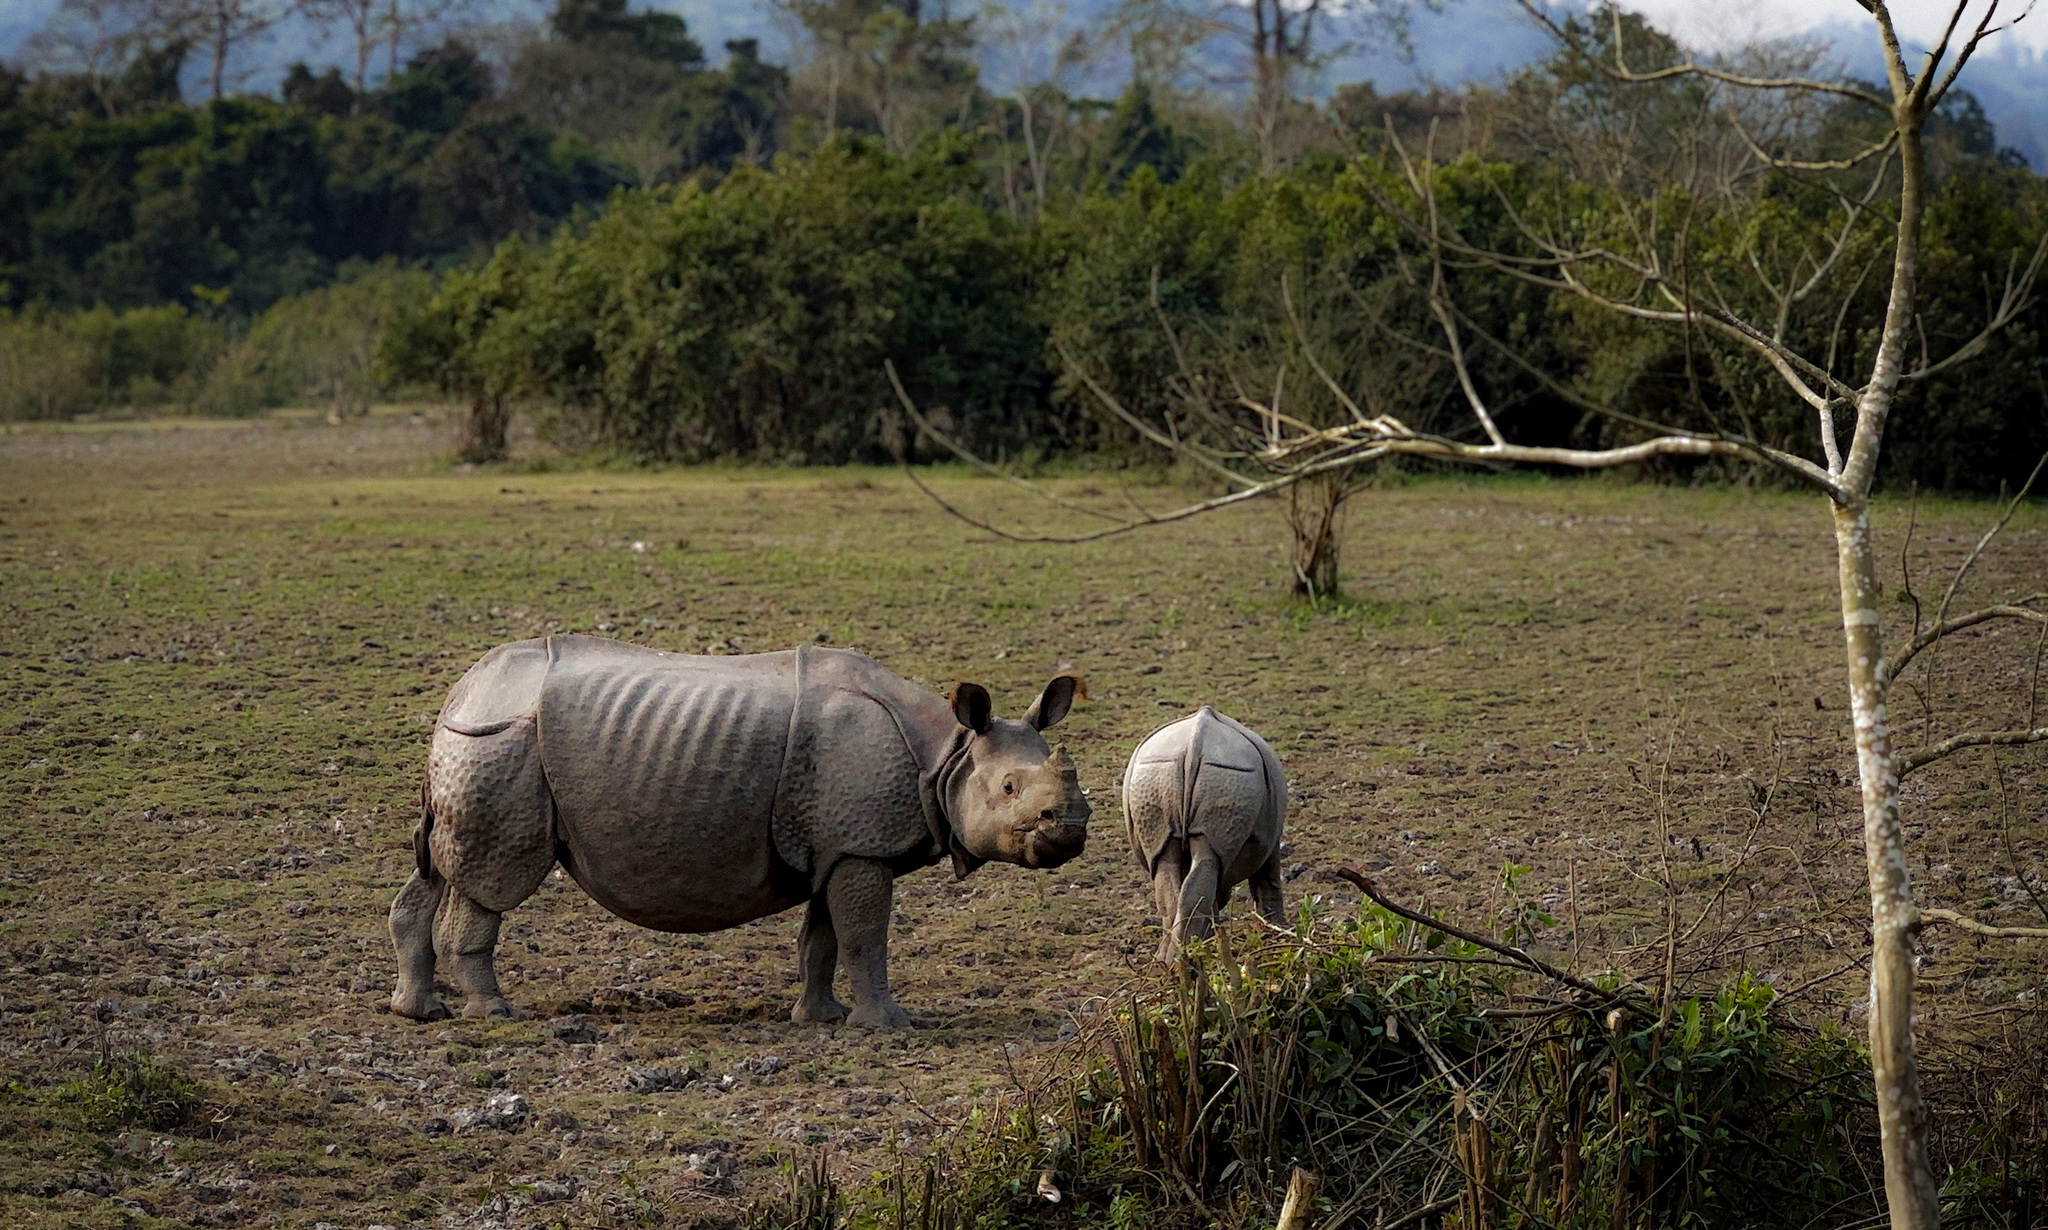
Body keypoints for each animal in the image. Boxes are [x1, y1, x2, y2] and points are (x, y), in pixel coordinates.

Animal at [389, 635, 1090, 1028]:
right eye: (1009, 790)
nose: (1073, 829)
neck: (949, 752)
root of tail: (462, 692)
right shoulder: (860, 848)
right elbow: (865, 936)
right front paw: (889, 1026)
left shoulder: (834, 848)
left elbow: (823, 938)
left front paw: (821, 1019)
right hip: (502, 744)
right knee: (491, 881)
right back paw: (494, 1014)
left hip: (477, 745)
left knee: (436, 872)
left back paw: (420, 1012)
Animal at [1121, 707, 1286, 959]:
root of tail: (1194, 745)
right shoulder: (1271, 841)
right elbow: (1269, 878)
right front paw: (1276, 932)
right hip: (1229, 775)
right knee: (1207, 860)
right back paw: (1193, 956)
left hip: (1157, 773)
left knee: (1167, 865)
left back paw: (1171, 961)